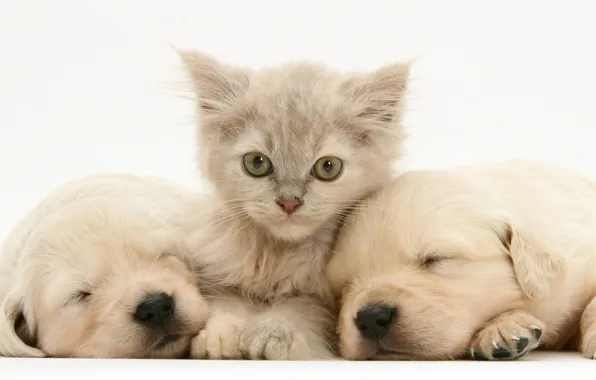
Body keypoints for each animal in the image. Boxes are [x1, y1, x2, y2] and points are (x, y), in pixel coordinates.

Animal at [178, 51, 410, 360]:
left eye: (328, 167)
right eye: (256, 163)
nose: (289, 202)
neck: (278, 255)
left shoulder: (325, 302)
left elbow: (299, 308)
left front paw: (273, 334)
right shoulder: (218, 276)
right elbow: (228, 303)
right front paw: (220, 336)